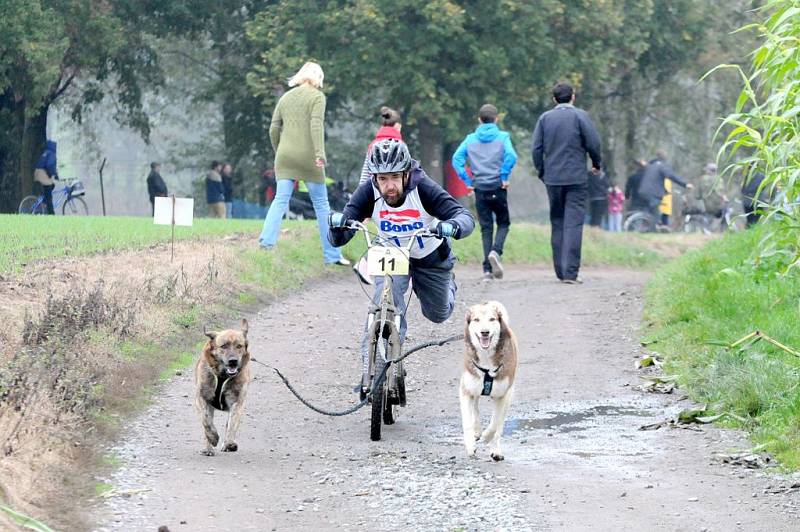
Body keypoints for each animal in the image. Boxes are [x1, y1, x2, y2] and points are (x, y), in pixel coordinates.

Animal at [194, 318, 250, 456]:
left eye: (239, 346)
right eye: (224, 346)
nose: (233, 361)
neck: (222, 376)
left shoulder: (237, 402)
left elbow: (231, 424)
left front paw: (229, 442)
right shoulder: (201, 398)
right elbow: (206, 420)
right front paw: (213, 438)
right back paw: (208, 448)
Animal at [460, 302, 520, 460]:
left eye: (492, 319)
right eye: (476, 320)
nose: (484, 332)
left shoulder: (503, 395)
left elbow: (495, 422)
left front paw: (487, 437)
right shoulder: (465, 390)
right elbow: (467, 420)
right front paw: (470, 445)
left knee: (499, 424)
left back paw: (495, 449)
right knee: (475, 407)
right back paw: (477, 431)